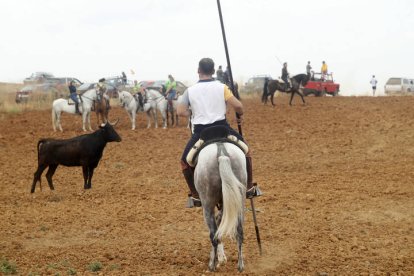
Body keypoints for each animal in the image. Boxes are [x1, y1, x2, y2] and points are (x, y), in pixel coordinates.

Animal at [194, 142, 246, 272]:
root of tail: (221, 152)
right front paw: (221, 258)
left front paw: (218, 258)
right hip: (239, 201)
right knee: (239, 232)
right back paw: (240, 266)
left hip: (207, 205)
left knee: (213, 234)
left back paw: (211, 266)